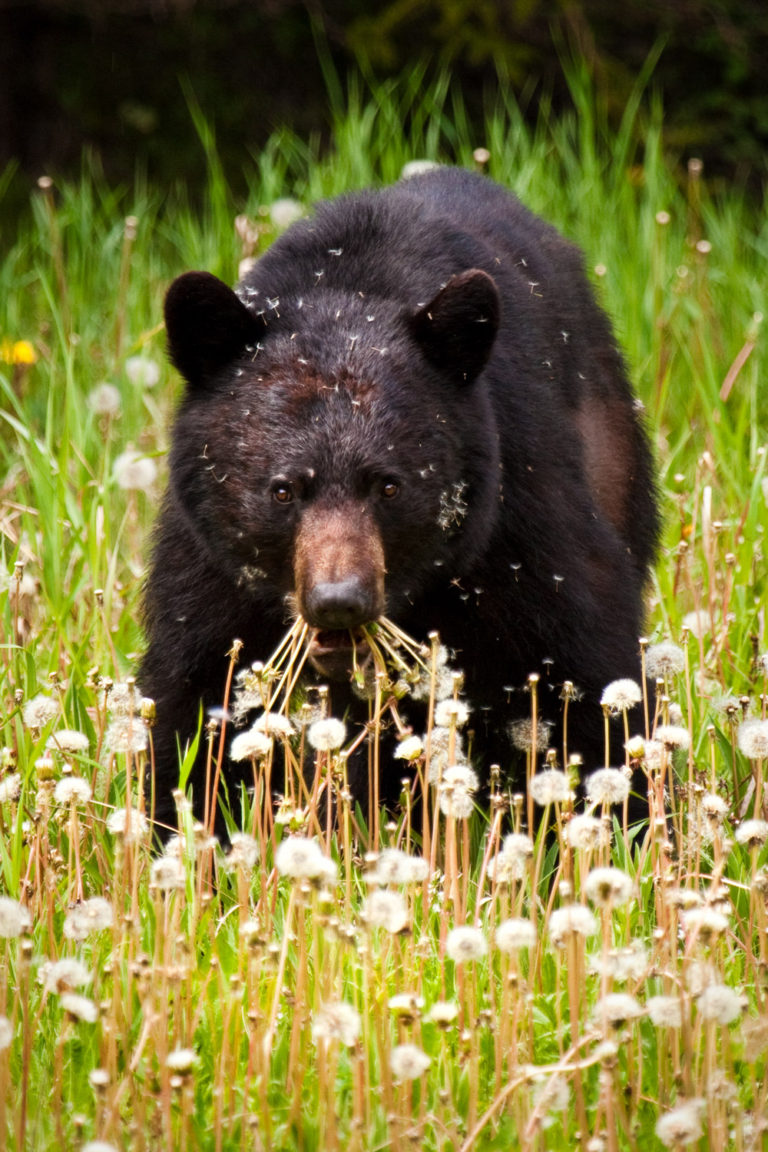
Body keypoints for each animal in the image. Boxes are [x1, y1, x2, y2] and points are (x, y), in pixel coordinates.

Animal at [141, 167, 658, 834]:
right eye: (282, 490)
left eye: (389, 485)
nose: (340, 602)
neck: (346, 291)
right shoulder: (212, 566)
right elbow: (193, 701)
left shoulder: (519, 519)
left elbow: (589, 674)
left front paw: (628, 827)